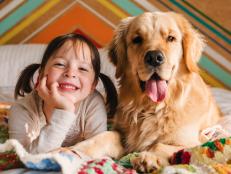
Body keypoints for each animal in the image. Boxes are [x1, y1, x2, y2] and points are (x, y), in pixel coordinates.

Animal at [69, 11, 222, 173]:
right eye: (137, 39)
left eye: (171, 38)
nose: (154, 57)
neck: (151, 108)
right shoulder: (121, 133)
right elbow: (104, 136)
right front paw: (74, 150)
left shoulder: (194, 142)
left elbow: (162, 145)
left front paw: (149, 158)